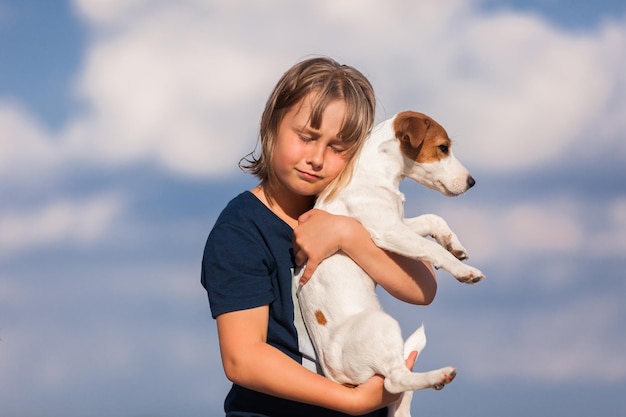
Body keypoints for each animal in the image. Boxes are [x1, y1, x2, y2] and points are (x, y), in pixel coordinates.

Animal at [292, 110, 482, 416]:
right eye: (443, 147)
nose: (472, 182)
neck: (374, 172)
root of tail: (338, 379)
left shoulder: (399, 221)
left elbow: (433, 219)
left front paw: (454, 244)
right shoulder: (388, 230)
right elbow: (430, 248)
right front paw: (463, 270)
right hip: (382, 325)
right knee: (395, 380)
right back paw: (439, 375)